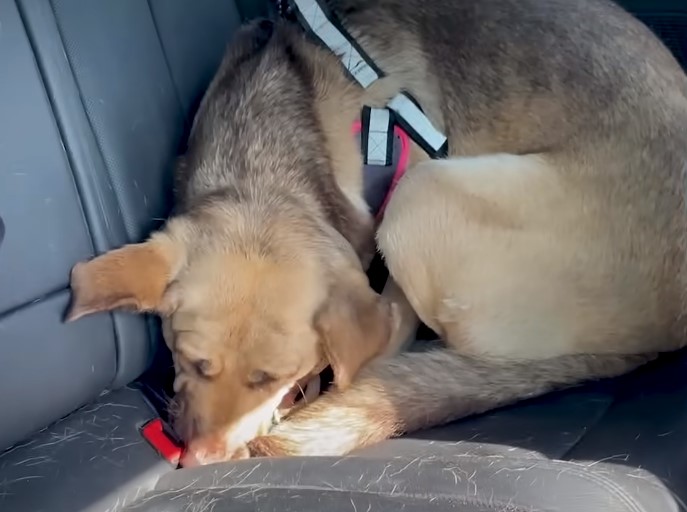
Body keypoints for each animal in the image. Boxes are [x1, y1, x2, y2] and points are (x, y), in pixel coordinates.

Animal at [66, 0, 687, 464]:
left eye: (273, 376)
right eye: (193, 362)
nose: (203, 461)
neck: (265, 164)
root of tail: (658, 339)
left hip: (419, 193)